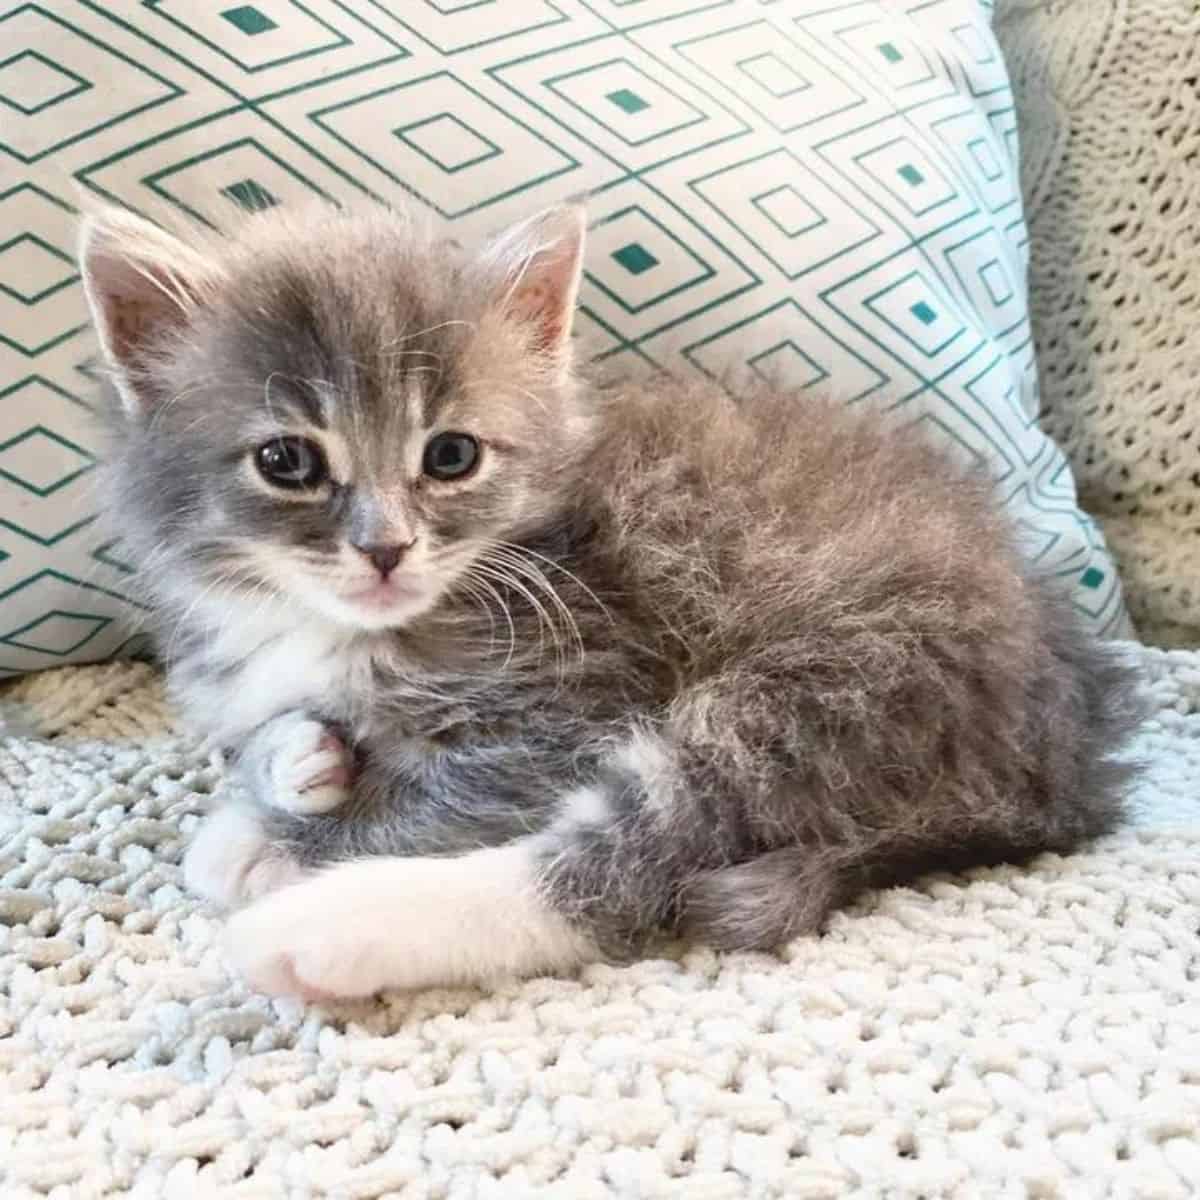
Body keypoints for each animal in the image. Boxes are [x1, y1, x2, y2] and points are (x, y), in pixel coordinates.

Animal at [77, 201, 1142, 998]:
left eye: (450, 455)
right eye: (288, 462)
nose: (385, 548)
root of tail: (1068, 768)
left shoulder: (569, 689)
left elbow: (436, 798)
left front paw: (271, 840)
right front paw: (292, 757)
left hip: (838, 682)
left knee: (625, 864)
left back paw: (321, 933)